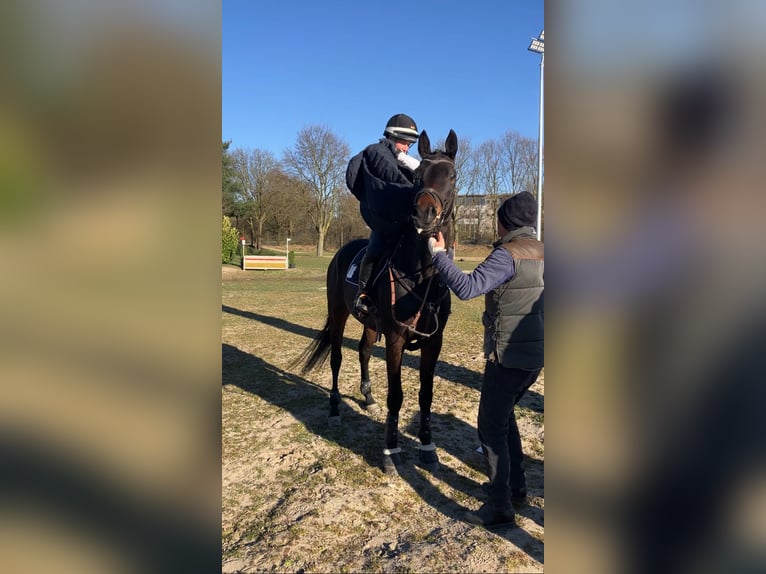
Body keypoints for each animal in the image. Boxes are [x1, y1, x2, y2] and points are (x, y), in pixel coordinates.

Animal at [294, 129, 458, 473]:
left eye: (451, 176)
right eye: (418, 177)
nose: (424, 214)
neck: (422, 275)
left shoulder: (434, 341)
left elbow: (426, 394)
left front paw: (427, 447)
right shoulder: (395, 338)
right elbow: (396, 395)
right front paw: (391, 452)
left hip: (370, 324)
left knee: (364, 351)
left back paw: (367, 397)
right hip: (338, 314)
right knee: (337, 358)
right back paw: (334, 408)